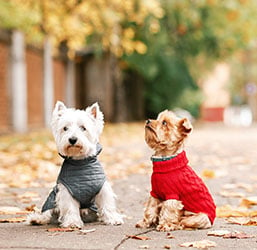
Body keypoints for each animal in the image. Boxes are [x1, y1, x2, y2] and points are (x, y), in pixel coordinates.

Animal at [27, 101, 123, 229]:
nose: (72, 139)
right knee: (47, 213)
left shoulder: (102, 187)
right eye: (65, 128)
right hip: (52, 197)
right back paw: (37, 219)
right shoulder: (66, 190)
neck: (80, 162)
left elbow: (107, 204)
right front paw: (72, 222)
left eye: (83, 128)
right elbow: (70, 207)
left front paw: (113, 219)